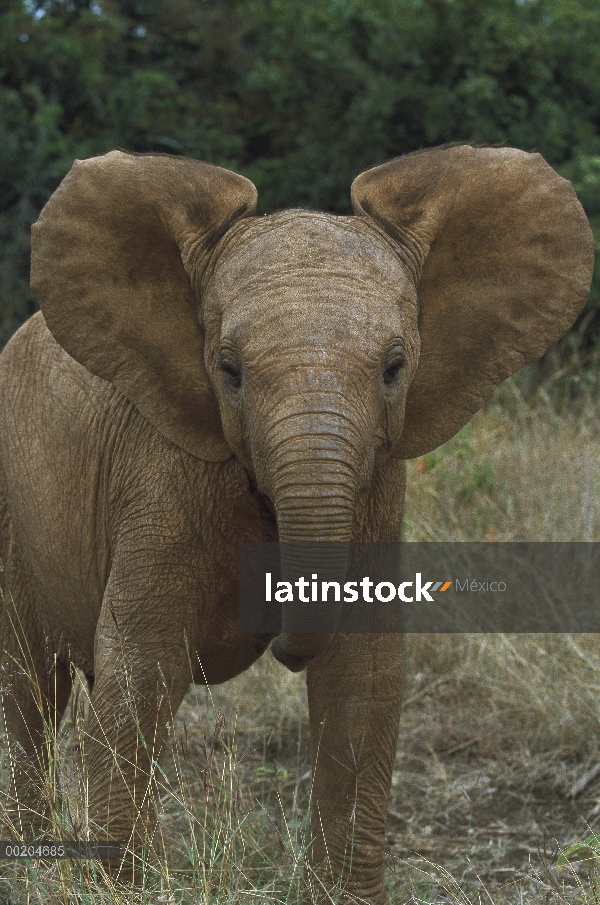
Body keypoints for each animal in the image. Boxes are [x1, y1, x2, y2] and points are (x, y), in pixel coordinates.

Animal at [0, 145, 592, 892]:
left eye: (395, 368)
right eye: (229, 371)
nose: (277, 630)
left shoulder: (376, 487)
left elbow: (364, 675)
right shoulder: (156, 472)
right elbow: (142, 666)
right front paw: (133, 890)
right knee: (29, 685)